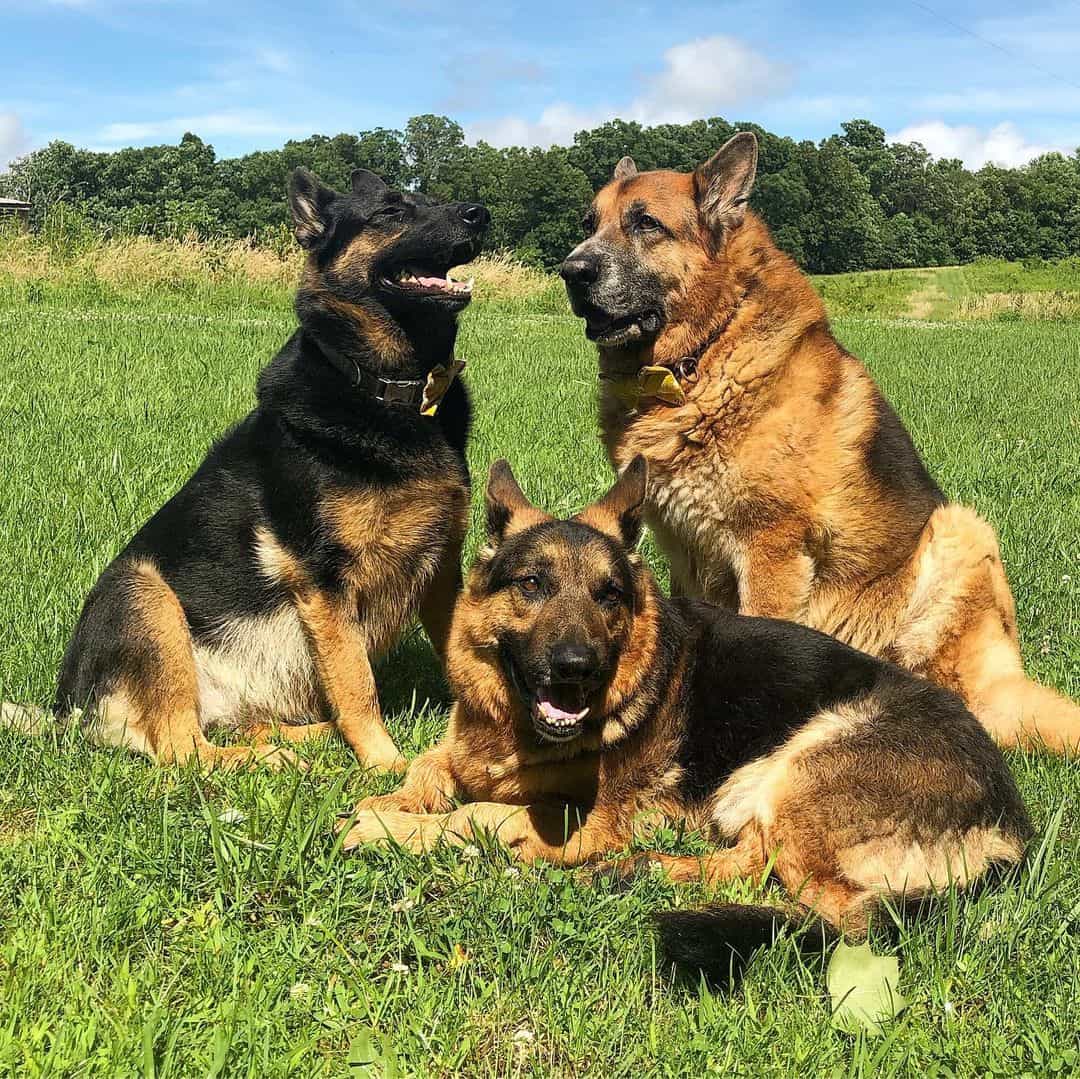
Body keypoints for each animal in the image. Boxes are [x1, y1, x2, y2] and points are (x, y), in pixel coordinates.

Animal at [1, 168, 490, 773]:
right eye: (391, 211)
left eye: (434, 198)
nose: (479, 213)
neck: (389, 391)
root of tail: (68, 715)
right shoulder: (325, 580)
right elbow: (358, 686)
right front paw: (387, 767)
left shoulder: (443, 568)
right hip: (144, 595)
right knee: (184, 751)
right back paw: (282, 758)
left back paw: (305, 738)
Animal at [336, 455, 1028, 972]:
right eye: (532, 585)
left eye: (609, 595)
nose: (577, 667)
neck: (510, 729)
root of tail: (1009, 825)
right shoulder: (463, 748)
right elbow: (430, 764)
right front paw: (394, 801)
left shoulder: (588, 820)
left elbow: (480, 815)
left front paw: (385, 828)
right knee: (753, 865)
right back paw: (640, 871)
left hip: (799, 766)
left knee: (826, 909)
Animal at [561, 132, 1075, 751]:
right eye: (590, 222)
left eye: (645, 224)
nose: (570, 271)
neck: (705, 353)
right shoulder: (690, 554)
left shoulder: (771, 551)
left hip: (961, 531)